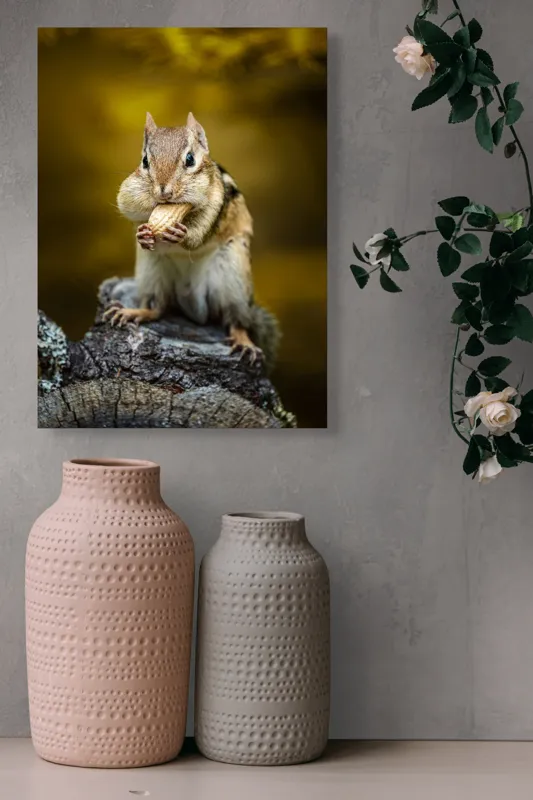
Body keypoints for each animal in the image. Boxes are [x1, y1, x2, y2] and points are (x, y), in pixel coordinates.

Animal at [104, 111, 280, 368]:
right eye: (145, 161)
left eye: (190, 159)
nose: (164, 192)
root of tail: (192, 302)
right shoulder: (130, 193)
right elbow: (128, 208)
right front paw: (142, 234)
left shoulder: (216, 202)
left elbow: (199, 235)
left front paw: (183, 235)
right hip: (152, 272)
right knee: (158, 307)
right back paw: (133, 312)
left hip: (233, 276)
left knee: (235, 320)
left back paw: (244, 341)